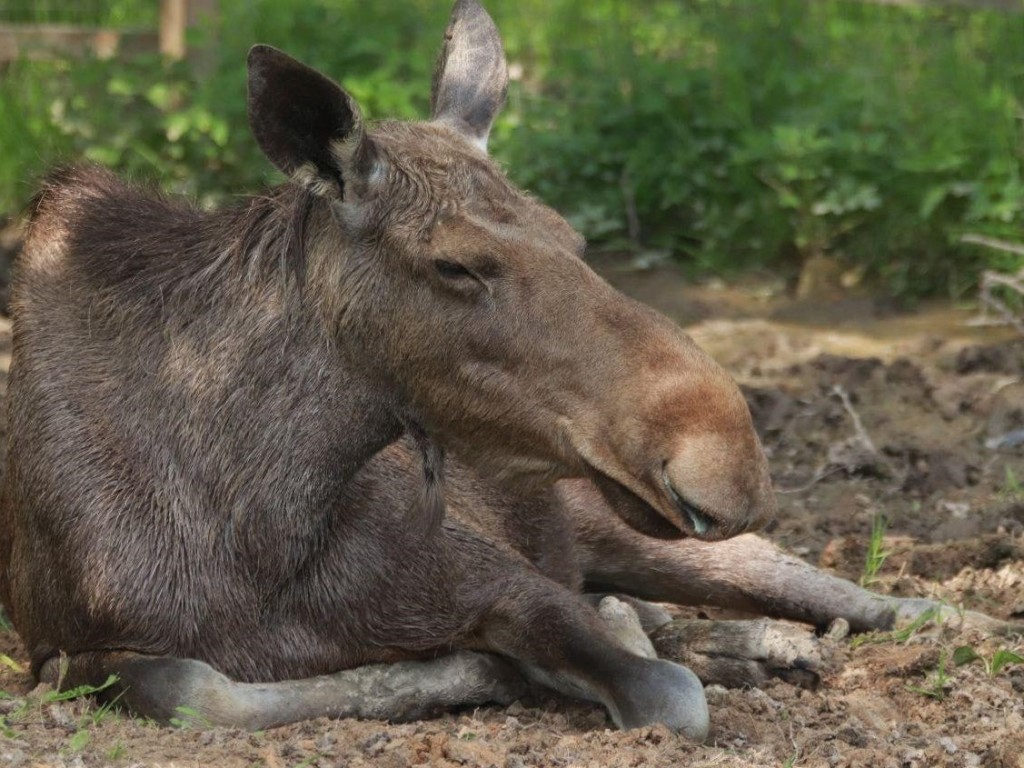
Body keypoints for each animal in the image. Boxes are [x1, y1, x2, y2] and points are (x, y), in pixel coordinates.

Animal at [0, 0, 1011, 741]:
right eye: (455, 264)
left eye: (572, 236)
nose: (724, 457)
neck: (263, 527)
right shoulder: (63, 649)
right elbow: (194, 685)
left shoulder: (502, 578)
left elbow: (662, 690)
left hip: (633, 530)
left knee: (852, 592)